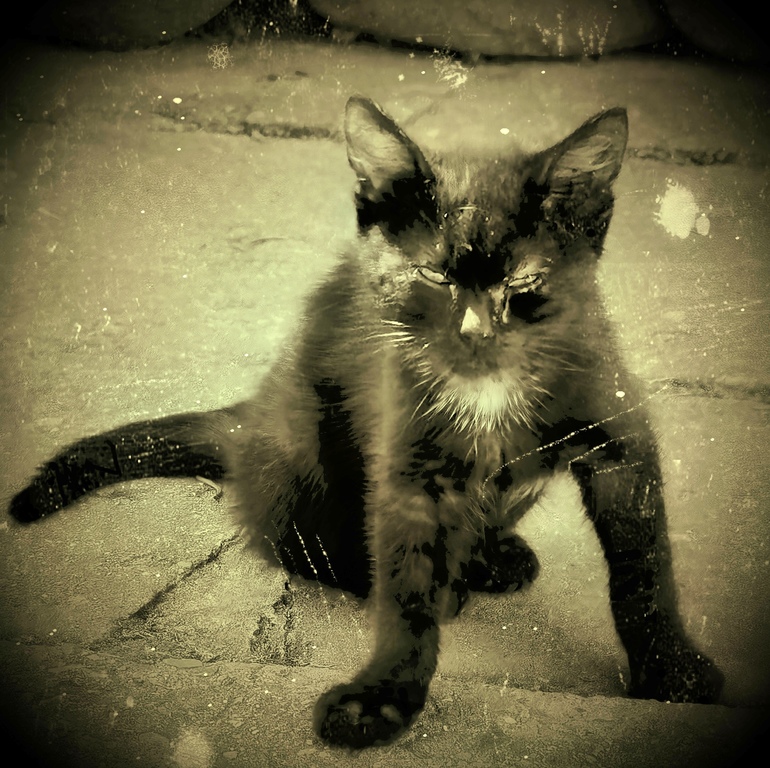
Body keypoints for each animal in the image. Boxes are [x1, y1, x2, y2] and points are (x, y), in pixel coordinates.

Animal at [9, 96, 723, 748]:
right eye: (432, 272)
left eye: (523, 280)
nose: (474, 334)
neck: (492, 392)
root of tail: (253, 414)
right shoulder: (409, 466)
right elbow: (406, 589)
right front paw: (385, 696)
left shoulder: (623, 442)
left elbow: (645, 575)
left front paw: (672, 671)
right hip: (303, 456)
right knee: (309, 548)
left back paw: (494, 555)